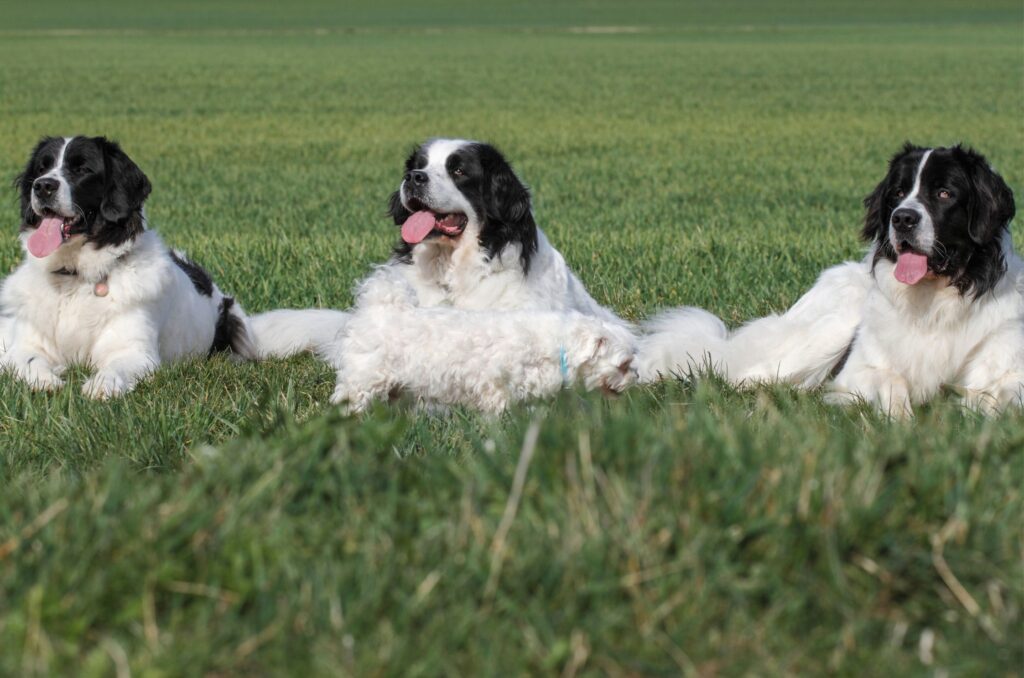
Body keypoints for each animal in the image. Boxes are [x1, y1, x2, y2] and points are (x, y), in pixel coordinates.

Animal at [0, 135, 253, 399]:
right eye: (42, 168)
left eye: (82, 169)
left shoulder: (134, 352)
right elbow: (29, 360)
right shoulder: (25, 346)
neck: (76, 278)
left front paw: (100, 386)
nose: (42, 186)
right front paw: (45, 382)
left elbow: (115, 368)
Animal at [634, 144, 1019, 413]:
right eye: (897, 193)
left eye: (944, 193)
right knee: (737, 374)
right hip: (828, 330)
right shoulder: (859, 371)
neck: (934, 300)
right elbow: (892, 383)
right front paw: (901, 421)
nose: (902, 219)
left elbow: (988, 399)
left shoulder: (1007, 373)